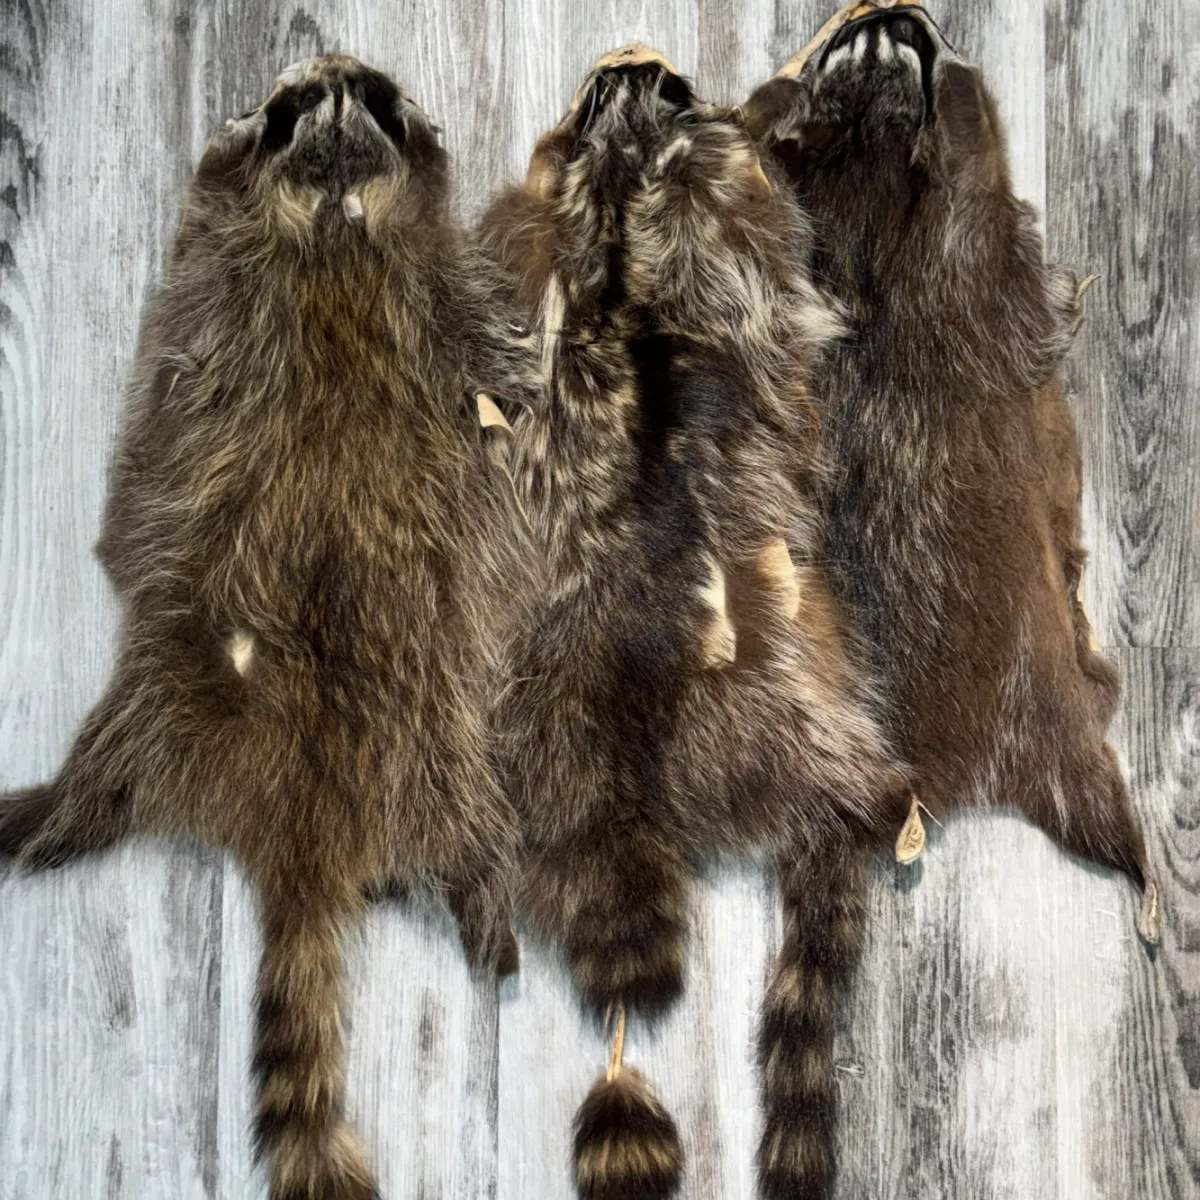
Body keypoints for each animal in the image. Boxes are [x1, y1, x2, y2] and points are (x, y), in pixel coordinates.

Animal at [0, 56, 539, 1200]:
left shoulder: (388, 295)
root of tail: (304, 818)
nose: (334, 70)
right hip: (177, 689)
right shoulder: (232, 292)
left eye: (369, 94)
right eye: (293, 105)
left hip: (426, 742)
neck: (331, 218)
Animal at [481, 45, 909, 1199]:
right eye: (658, 86)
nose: (633, 57)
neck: (624, 187)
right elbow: (778, 245)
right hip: (796, 693)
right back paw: (882, 800)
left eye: (611, 89)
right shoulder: (731, 232)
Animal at [743, 4, 1159, 1196]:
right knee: (1096, 781)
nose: (893, 15)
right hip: (1046, 712)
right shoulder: (981, 234)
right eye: (886, 60)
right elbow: (1001, 196)